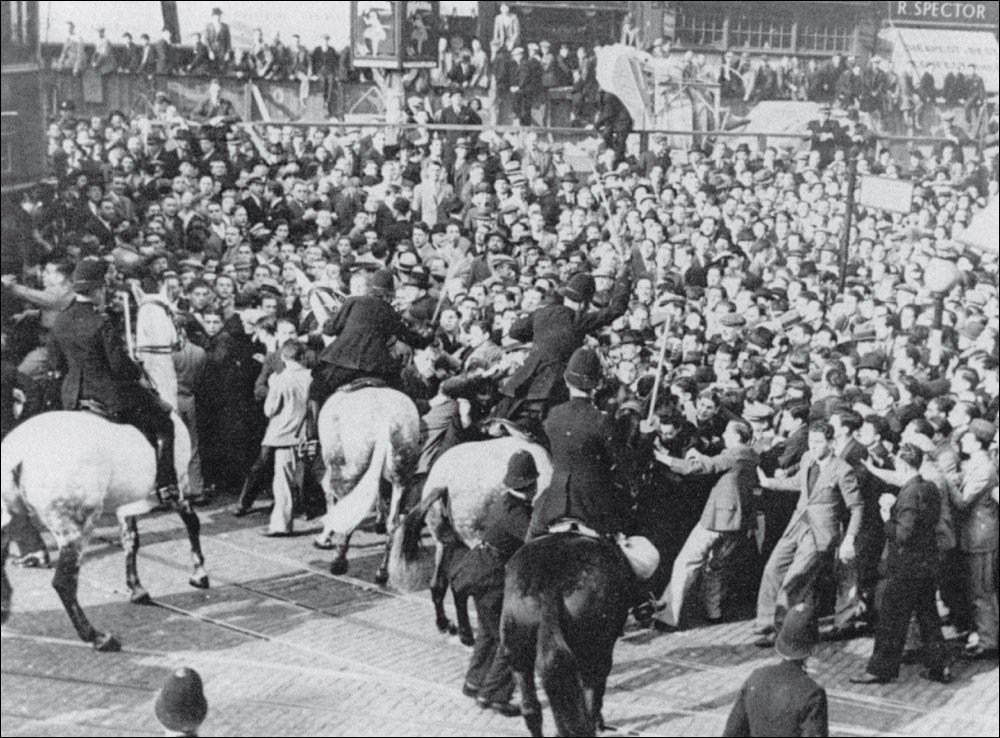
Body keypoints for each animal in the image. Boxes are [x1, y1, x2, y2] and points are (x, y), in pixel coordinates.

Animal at [0, 408, 207, 648]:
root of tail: (19, 456)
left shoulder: (126, 505)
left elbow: (131, 541)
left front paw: (137, 589)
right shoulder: (178, 488)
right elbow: (192, 523)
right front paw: (200, 575)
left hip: (9, 520)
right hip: (76, 529)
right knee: (64, 582)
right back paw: (97, 637)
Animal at [314, 386, 420, 580]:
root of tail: (385, 419)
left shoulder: (332, 466)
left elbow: (329, 496)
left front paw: (324, 538)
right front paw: (379, 520)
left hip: (350, 471)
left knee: (347, 512)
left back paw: (339, 563)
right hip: (401, 475)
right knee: (393, 523)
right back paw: (382, 572)